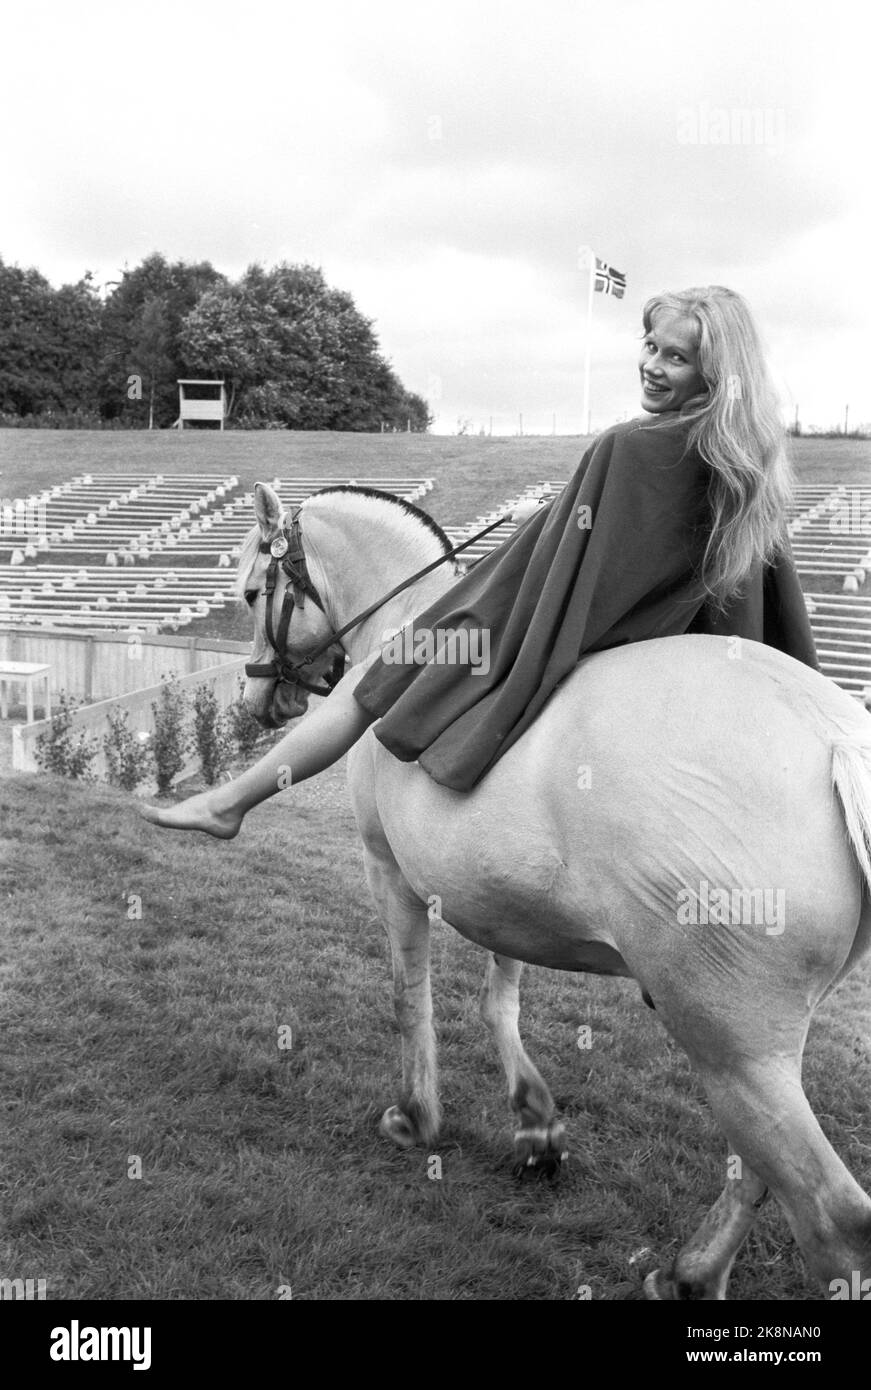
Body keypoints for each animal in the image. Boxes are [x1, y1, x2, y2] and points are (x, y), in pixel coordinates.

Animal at [238, 480, 871, 1301]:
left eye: (253, 592)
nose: (259, 701)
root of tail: (837, 737)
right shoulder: (506, 899)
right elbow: (500, 997)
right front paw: (535, 1124)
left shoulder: (389, 872)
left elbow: (410, 995)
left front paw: (417, 1115)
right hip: (756, 1043)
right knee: (765, 1171)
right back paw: (691, 1274)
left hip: (728, 1035)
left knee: (831, 1214)